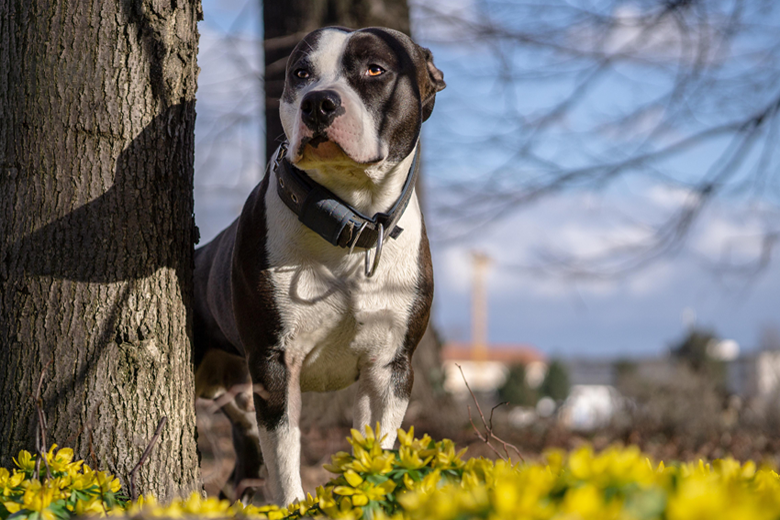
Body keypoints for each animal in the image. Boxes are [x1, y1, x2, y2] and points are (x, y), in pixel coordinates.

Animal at [190, 27, 444, 504]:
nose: (318, 102)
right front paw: (293, 506)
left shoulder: (390, 368)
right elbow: (286, 456)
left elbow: (376, 445)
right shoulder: (274, 363)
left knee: (245, 466)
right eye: (300, 74)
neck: (349, 220)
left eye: (375, 69)